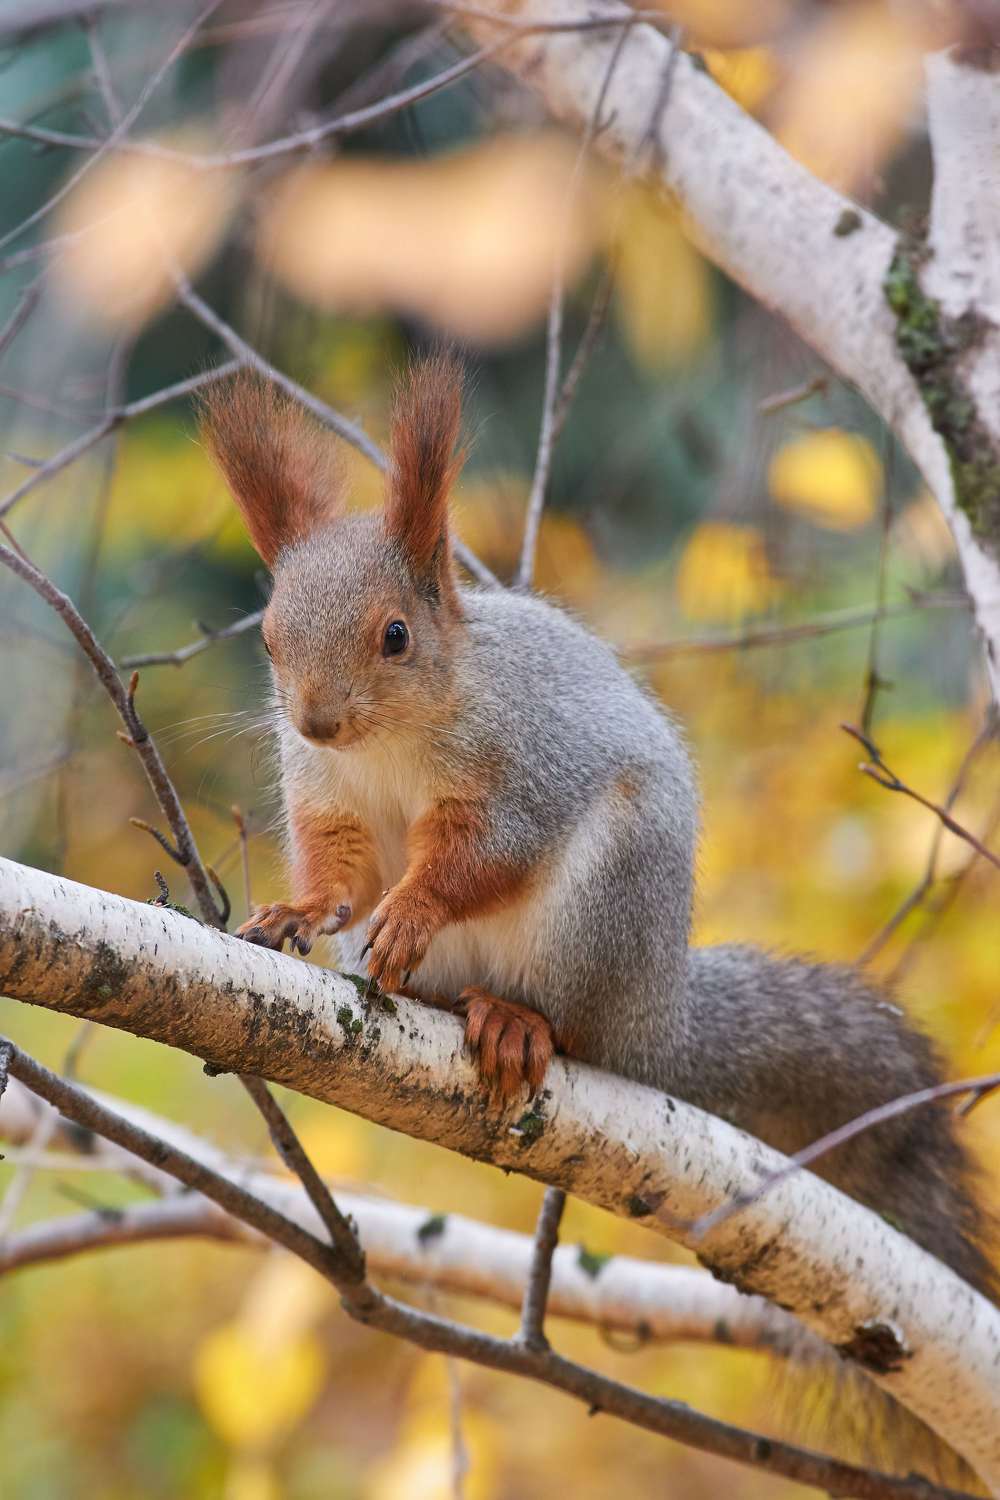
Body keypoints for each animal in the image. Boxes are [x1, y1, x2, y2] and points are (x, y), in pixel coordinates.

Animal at [201, 354, 997, 1477]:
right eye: (268, 637)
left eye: (394, 635)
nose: (314, 719)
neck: (393, 743)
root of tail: (654, 1015)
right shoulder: (328, 795)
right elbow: (338, 869)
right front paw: (295, 913)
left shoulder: (525, 773)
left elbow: (480, 858)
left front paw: (411, 912)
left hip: (605, 903)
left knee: (568, 1021)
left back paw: (514, 1022)